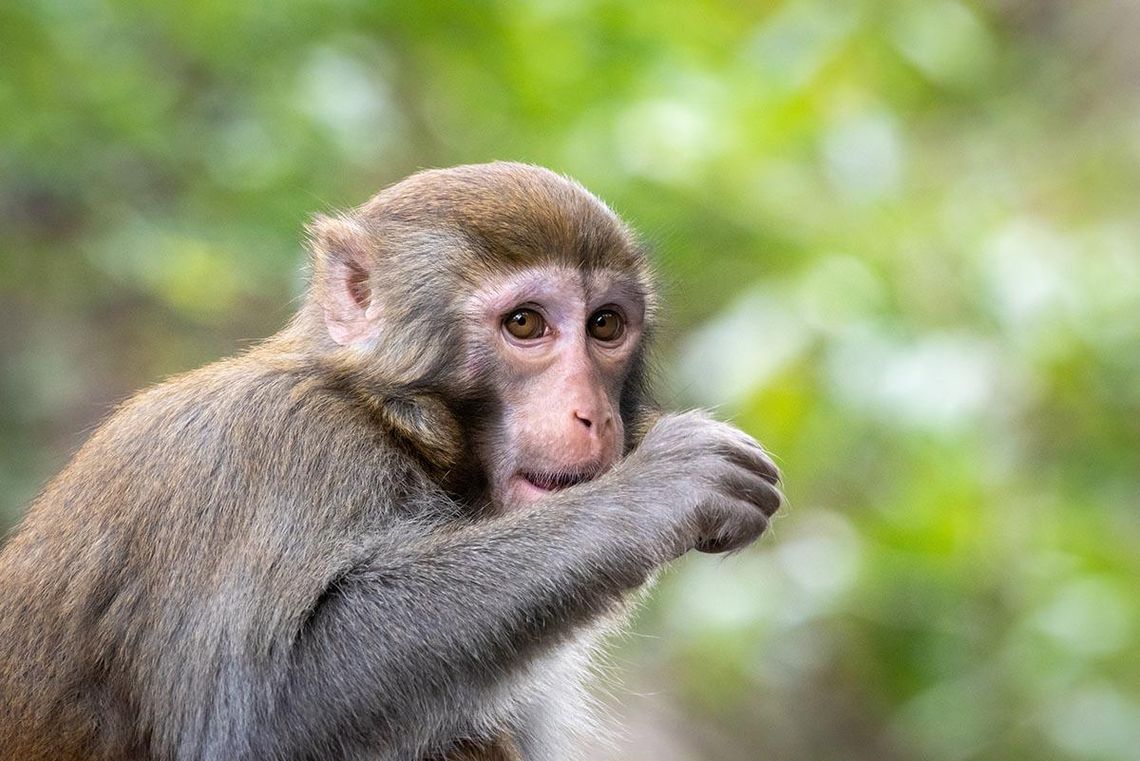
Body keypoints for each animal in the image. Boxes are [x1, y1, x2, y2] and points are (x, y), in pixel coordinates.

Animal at [0, 161, 779, 761]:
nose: (594, 413)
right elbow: (264, 716)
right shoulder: (281, 453)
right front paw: (661, 489)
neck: (392, 420)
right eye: (525, 323)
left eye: (606, 326)